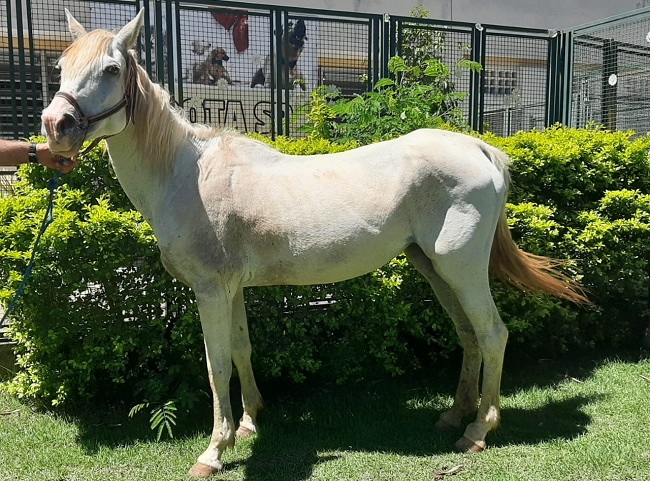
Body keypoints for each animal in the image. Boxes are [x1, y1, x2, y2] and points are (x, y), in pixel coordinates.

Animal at [40, 10, 588, 476]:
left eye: (112, 68)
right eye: (60, 66)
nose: (54, 126)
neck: (186, 174)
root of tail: (479, 147)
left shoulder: (210, 291)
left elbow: (216, 364)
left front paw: (214, 451)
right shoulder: (230, 290)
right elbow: (241, 349)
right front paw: (250, 421)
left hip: (463, 269)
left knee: (493, 334)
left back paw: (477, 430)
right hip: (433, 268)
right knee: (469, 335)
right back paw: (454, 415)